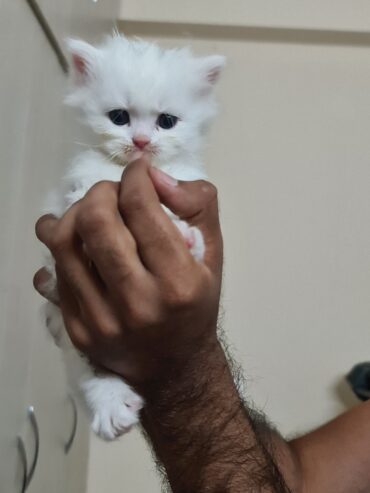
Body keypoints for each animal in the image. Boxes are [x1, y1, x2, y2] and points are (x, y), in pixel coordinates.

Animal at [43, 34, 223, 442]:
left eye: (167, 122)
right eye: (119, 117)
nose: (140, 142)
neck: (126, 172)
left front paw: (184, 238)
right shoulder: (79, 191)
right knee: (89, 367)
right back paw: (110, 404)